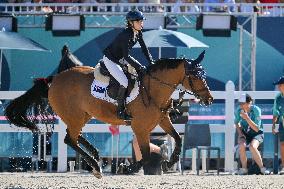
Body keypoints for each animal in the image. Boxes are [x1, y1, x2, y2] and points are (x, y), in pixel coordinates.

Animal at [4, 50, 213, 179]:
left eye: (203, 75)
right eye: (195, 77)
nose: (209, 99)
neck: (154, 88)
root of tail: (54, 78)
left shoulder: (162, 119)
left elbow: (177, 137)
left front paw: (170, 162)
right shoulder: (140, 127)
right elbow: (145, 154)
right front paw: (129, 168)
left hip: (82, 115)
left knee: (74, 136)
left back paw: (96, 157)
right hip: (74, 116)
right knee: (69, 139)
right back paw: (96, 166)